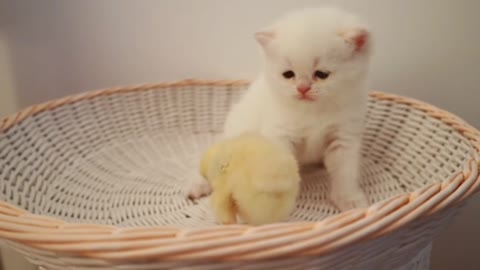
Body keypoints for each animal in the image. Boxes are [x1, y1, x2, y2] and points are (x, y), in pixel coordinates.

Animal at [187, 6, 372, 211]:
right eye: (288, 74)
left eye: (322, 74)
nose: (302, 88)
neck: (315, 110)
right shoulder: (281, 135)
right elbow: (281, 169)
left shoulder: (344, 136)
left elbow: (345, 172)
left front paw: (350, 200)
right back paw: (199, 185)